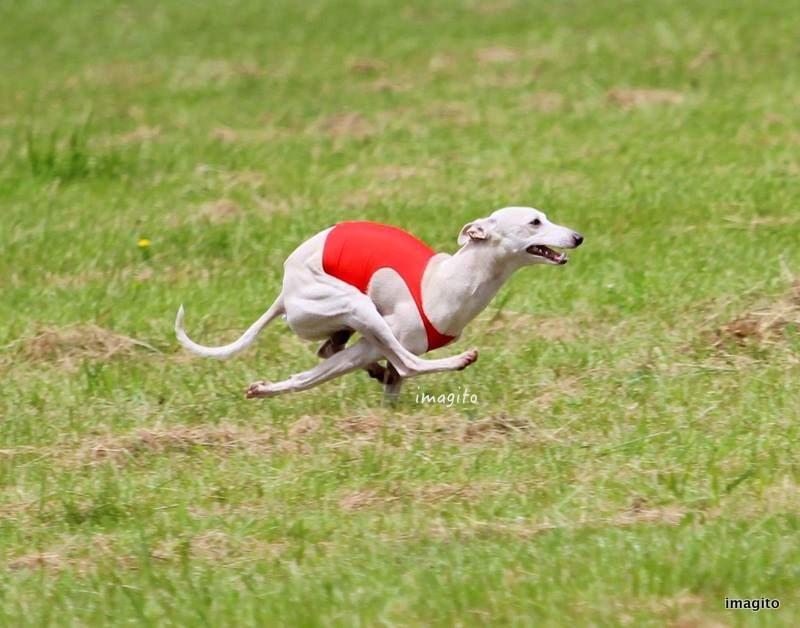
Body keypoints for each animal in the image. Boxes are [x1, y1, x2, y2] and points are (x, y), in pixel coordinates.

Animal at [175, 206, 583, 400]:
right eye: (534, 221)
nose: (578, 236)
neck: (448, 281)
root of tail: (284, 291)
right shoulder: (381, 340)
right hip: (354, 304)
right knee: (406, 363)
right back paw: (457, 361)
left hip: (341, 320)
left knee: (330, 350)